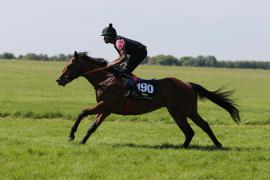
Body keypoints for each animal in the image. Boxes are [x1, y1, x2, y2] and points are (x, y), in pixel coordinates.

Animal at [56, 50, 239, 148]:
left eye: (70, 66)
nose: (59, 80)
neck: (105, 80)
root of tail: (188, 84)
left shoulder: (105, 105)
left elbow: (82, 113)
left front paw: (72, 136)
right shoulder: (107, 109)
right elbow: (92, 127)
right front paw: (82, 141)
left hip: (178, 111)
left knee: (190, 130)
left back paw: (187, 147)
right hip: (188, 111)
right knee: (202, 126)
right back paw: (216, 144)